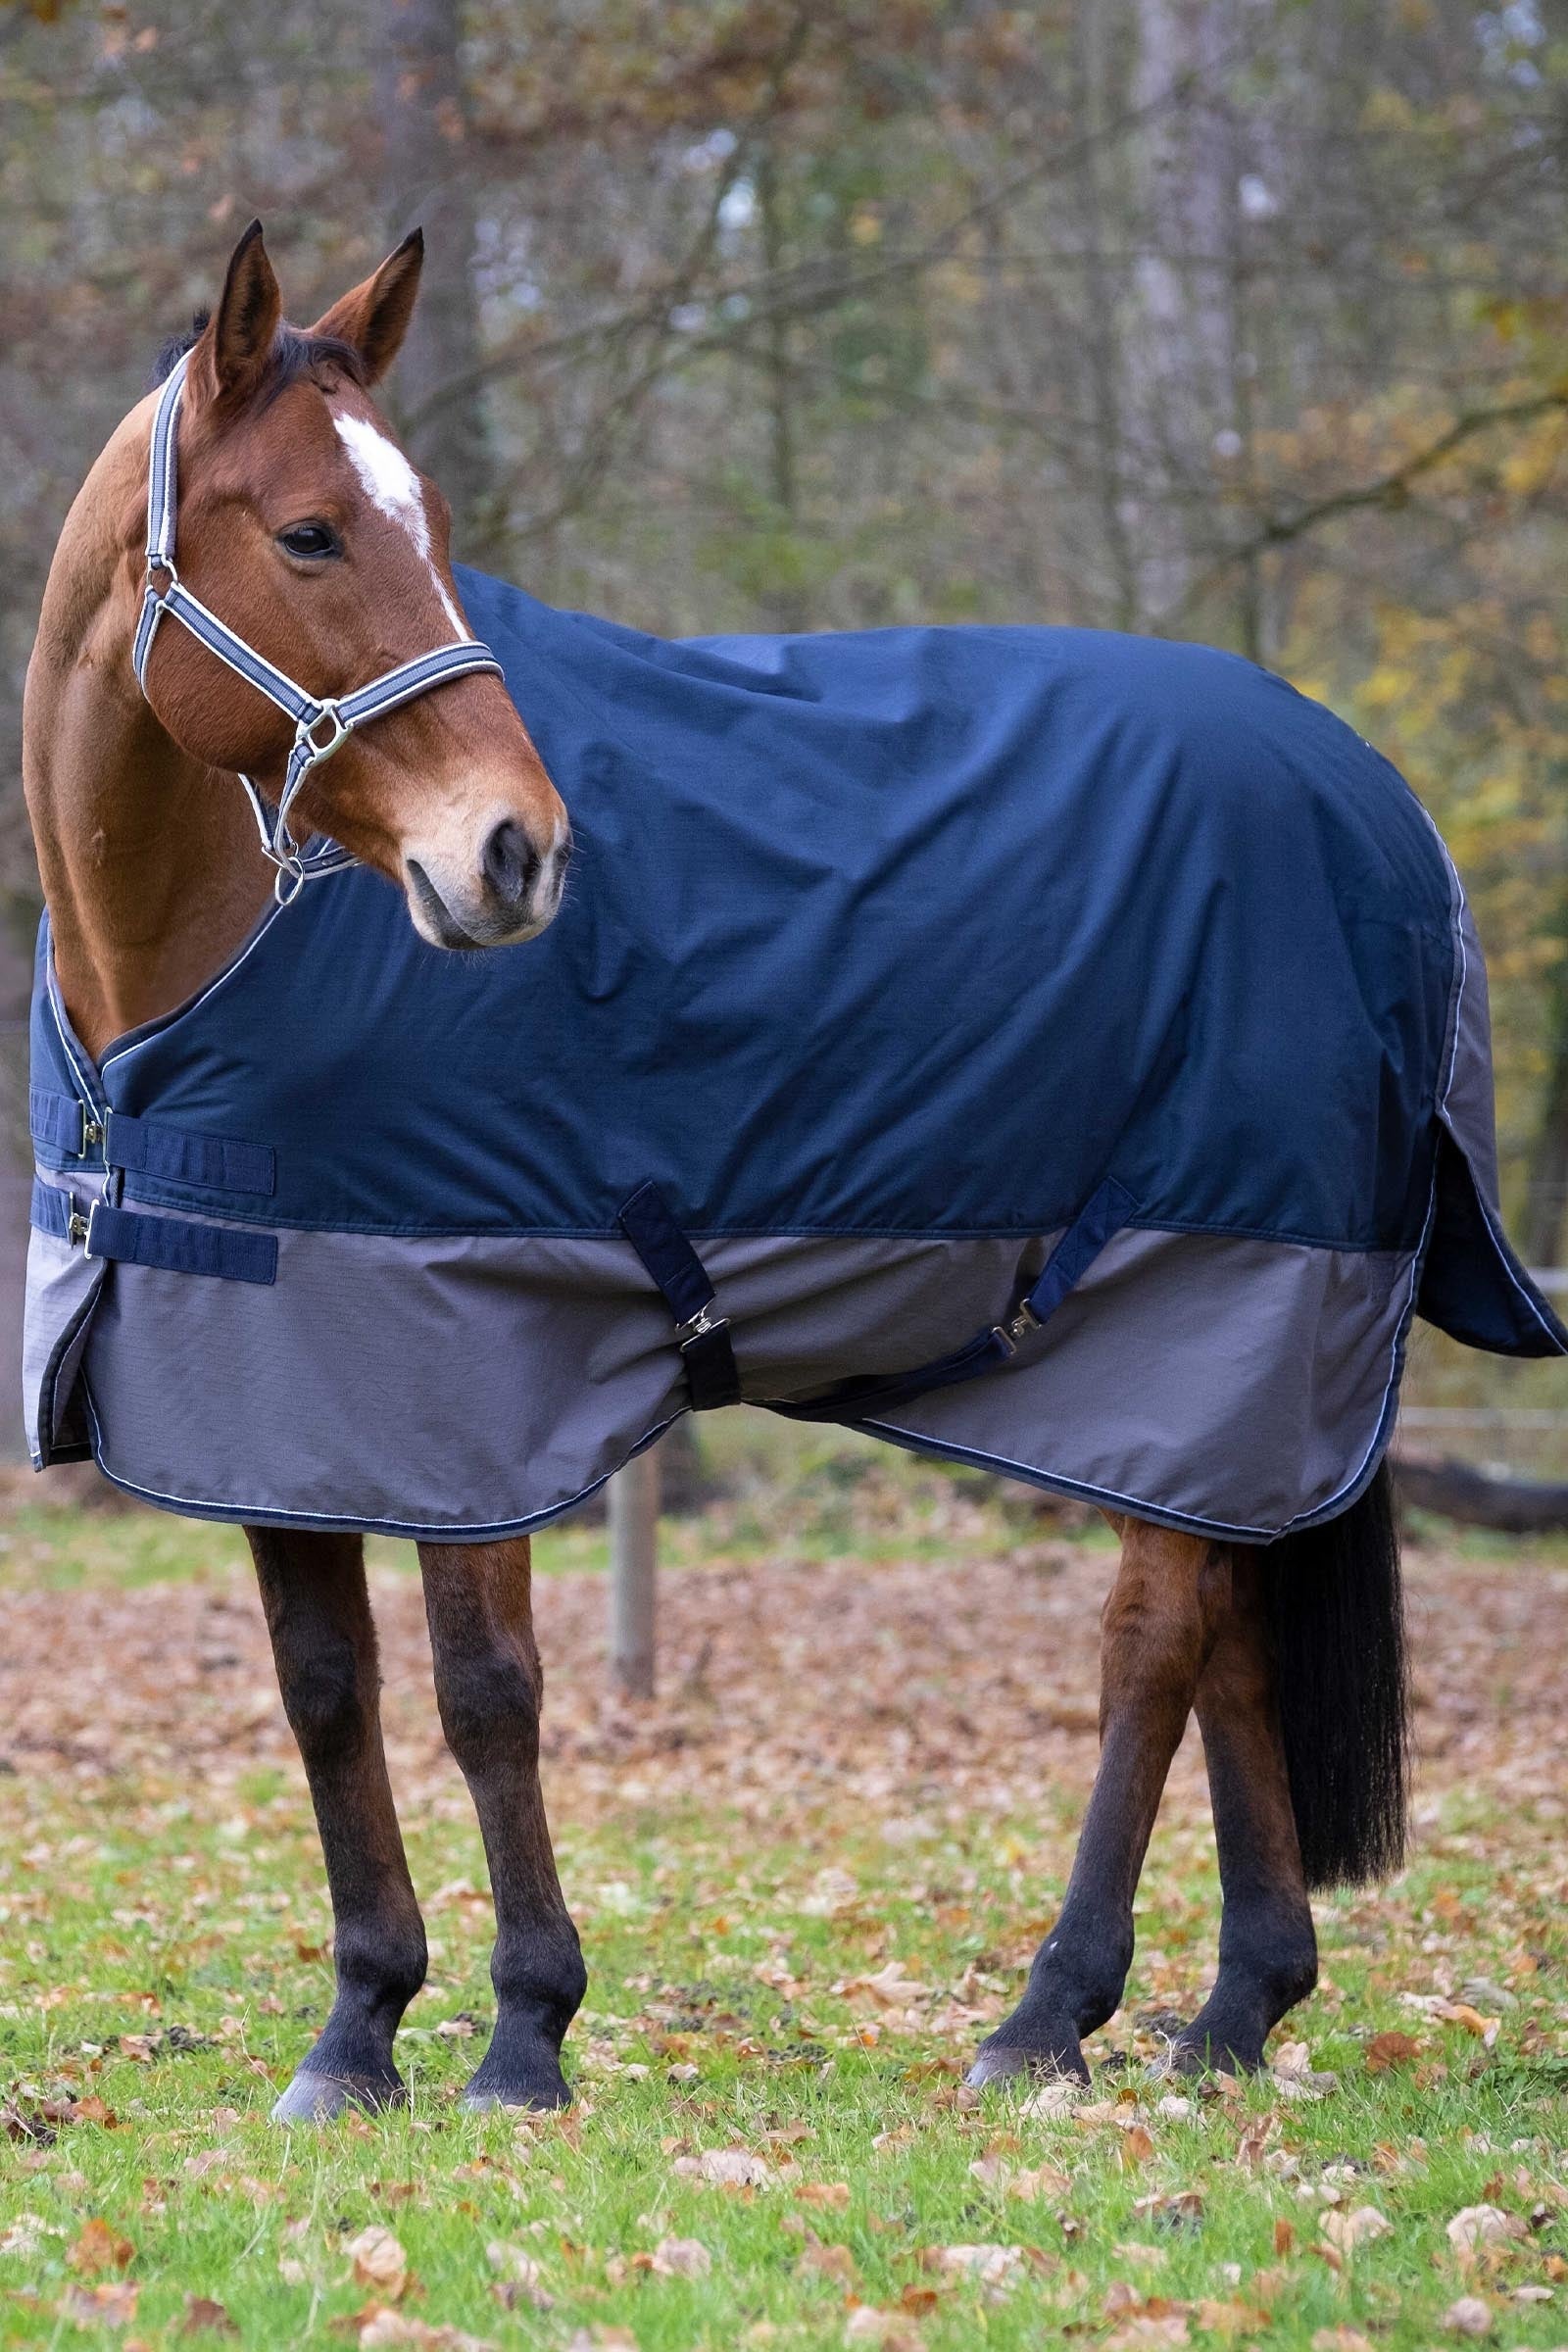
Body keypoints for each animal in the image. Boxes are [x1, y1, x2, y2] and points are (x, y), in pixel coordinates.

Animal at [22, 222, 1554, 2120]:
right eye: (310, 532)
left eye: (433, 531)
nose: (515, 854)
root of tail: (1379, 808)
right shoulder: (270, 1371)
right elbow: (326, 1692)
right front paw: (359, 2031)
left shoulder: (471, 1376)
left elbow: (483, 1692)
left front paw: (523, 2033)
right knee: (1240, 1641)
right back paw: (1230, 2016)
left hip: (1215, 1302)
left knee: (1155, 1650)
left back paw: (1048, 2015)